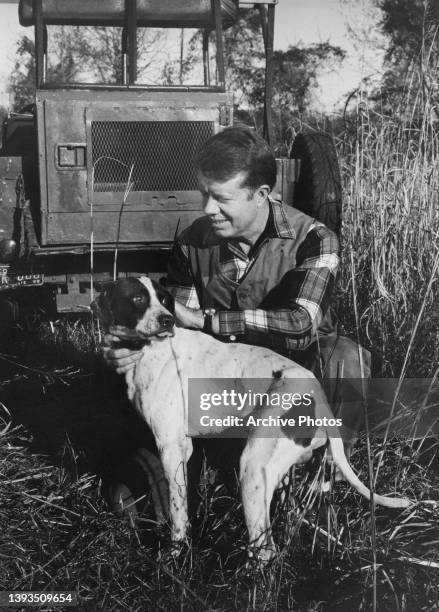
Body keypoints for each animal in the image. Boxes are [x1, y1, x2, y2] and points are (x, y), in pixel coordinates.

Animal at [93, 276, 412, 560]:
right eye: (138, 298)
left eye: (163, 299)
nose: (167, 320)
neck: (148, 350)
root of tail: (320, 403)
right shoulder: (185, 448)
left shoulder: (171, 448)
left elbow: (177, 511)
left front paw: (174, 553)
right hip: (276, 473)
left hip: (253, 469)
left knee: (265, 550)